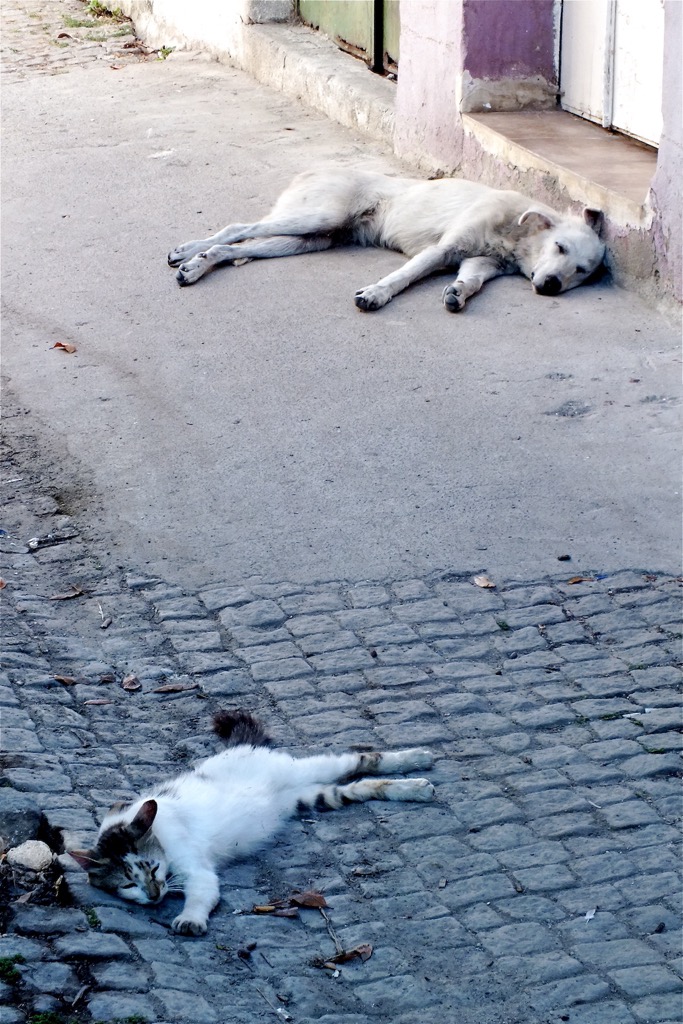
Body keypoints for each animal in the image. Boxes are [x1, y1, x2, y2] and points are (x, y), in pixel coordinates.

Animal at [68, 712, 432, 937]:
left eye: (154, 868)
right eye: (128, 884)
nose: (156, 896)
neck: (159, 836)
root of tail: (244, 747)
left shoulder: (196, 868)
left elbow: (201, 893)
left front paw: (190, 918)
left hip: (307, 770)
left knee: (359, 758)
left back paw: (418, 760)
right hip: (311, 797)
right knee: (360, 786)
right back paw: (411, 787)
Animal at [167, 167, 606, 309]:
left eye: (582, 271)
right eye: (559, 247)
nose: (550, 286)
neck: (514, 233)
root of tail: (312, 171)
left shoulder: (480, 262)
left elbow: (472, 281)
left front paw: (457, 293)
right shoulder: (443, 248)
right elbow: (402, 277)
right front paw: (375, 294)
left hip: (310, 238)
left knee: (232, 247)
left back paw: (196, 266)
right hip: (317, 216)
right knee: (237, 228)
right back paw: (187, 251)